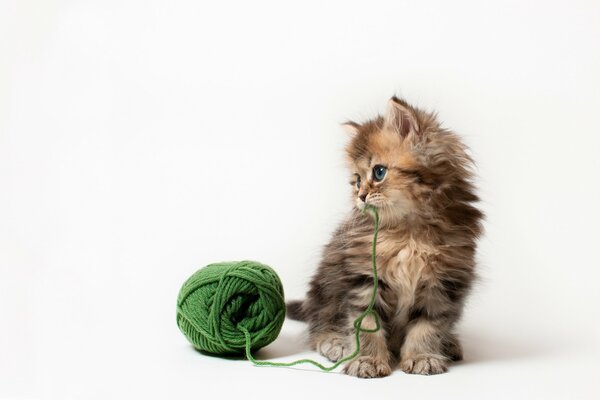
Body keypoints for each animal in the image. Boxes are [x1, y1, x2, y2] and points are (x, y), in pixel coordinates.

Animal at [288, 96, 482, 378]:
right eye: (357, 181)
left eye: (379, 172)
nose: (360, 197)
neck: (408, 235)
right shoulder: (364, 280)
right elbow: (366, 325)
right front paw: (366, 360)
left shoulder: (443, 281)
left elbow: (427, 326)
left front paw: (422, 357)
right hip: (324, 289)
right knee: (319, 325)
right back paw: (335, 343)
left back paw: (449, 344)